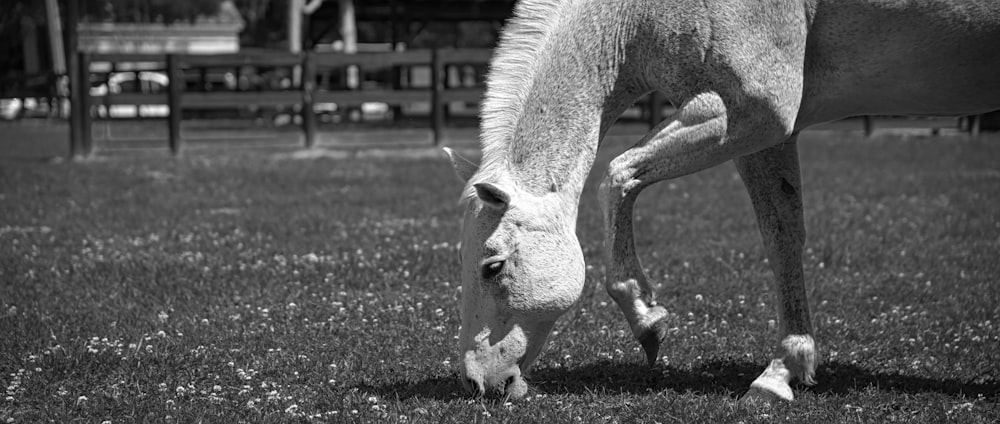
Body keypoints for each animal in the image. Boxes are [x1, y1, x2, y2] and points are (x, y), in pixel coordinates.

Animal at [446, 0, 1000, 402]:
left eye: (492, 267)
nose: (475, 383)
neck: (637, 12)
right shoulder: (765, 133)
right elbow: (782, 235)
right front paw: (783, 371)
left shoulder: (756, 110)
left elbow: (618, 175)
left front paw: (646, 318)